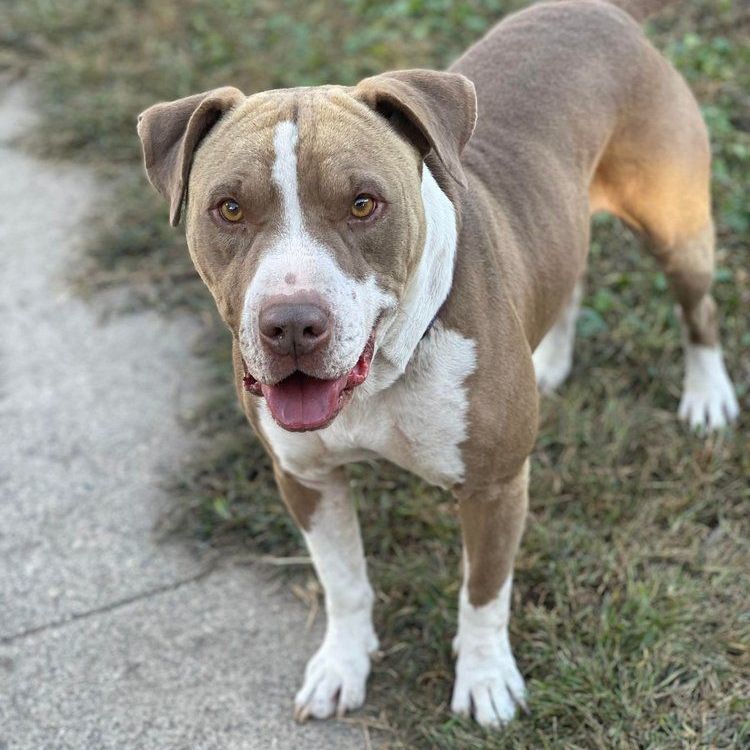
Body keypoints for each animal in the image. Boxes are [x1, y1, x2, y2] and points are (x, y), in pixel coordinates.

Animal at [138, 0, 744, 728]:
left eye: (364, 203)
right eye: (228, 209)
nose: (291, 325)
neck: (384, 374)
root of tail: (601, 12)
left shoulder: (494, 487)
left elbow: (483, 593)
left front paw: (485, 681)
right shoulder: (306, 478)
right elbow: (343, 582)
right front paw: (342, 665)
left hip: (676, 228)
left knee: (697, 309)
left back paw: (706, 394)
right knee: (570, 277)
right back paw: (552, 360)